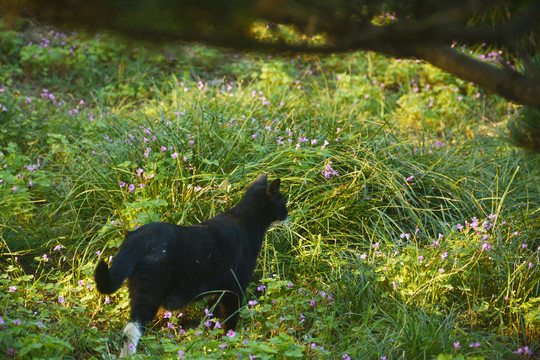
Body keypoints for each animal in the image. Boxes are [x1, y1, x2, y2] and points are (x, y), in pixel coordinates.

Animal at [94, 175, 286, 358]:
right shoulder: (235, 288)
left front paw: (213, 345)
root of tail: (136, 236)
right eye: (283, 201)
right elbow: (229, 322)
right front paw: (230, 345)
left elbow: (214, 321)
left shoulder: (217, 292)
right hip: (149, 291)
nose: (288, 213)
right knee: (132, 330)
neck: (246, 221)